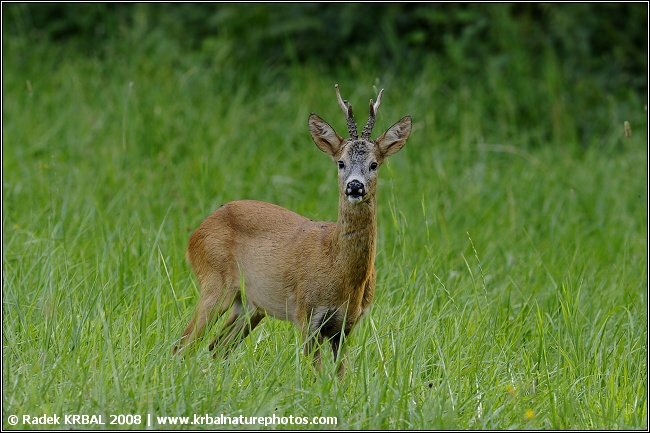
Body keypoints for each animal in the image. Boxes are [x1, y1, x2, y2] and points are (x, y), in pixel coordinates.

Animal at [173, 85, 412, 376]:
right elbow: (315, 374)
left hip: (251, 306)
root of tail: (196, 232)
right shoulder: (307, 314)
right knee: (183, 345)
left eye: (374, 164)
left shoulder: (347, 325)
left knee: (216, 348)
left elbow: (341, 376)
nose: (355, 186)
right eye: (340, 162)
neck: (339, 270)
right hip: (214, 281)